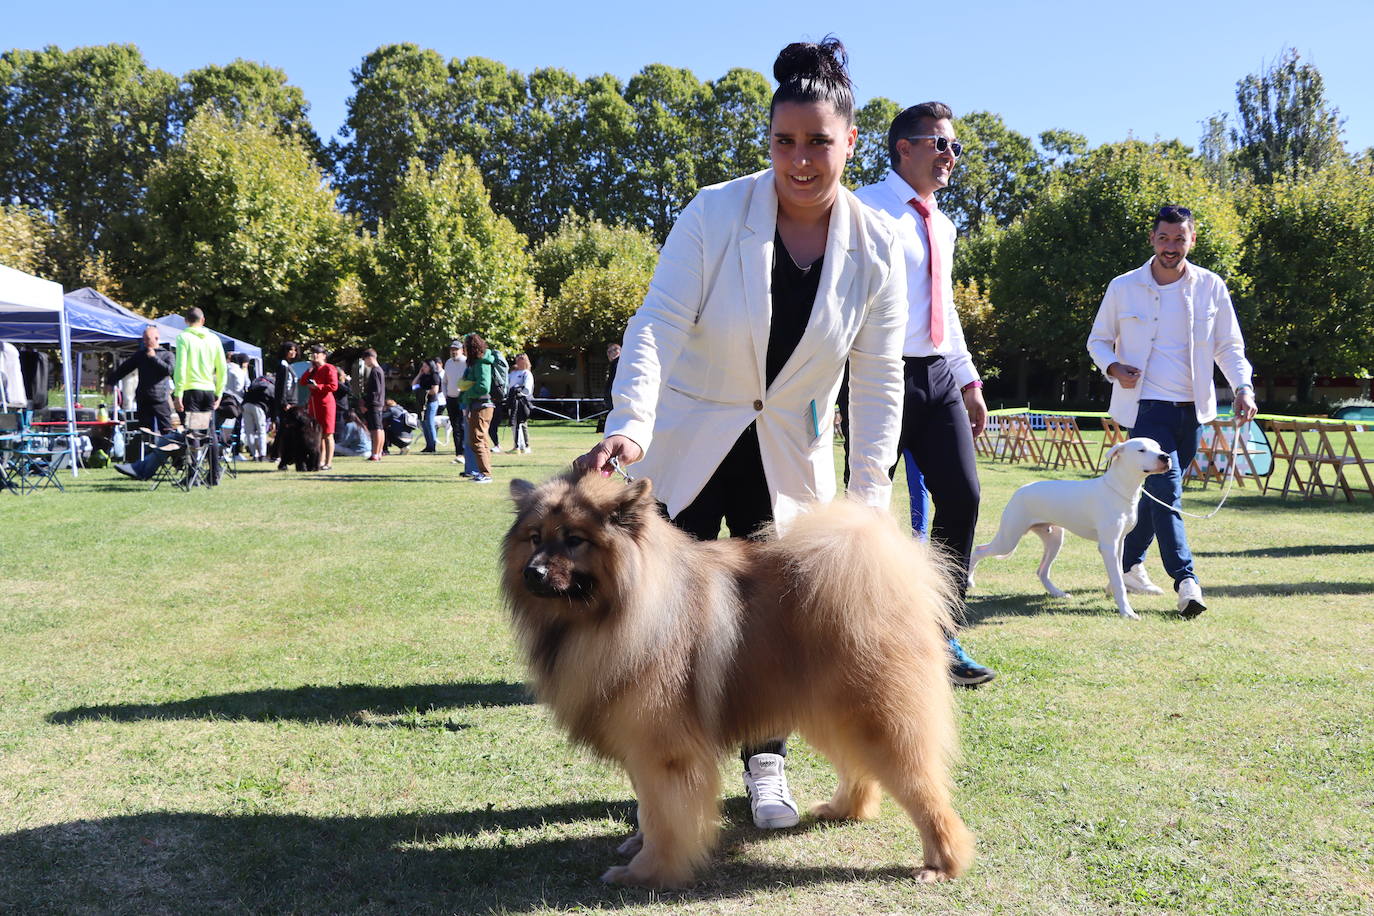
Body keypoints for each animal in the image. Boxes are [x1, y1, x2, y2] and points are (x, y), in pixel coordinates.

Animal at [505, 472, 978, 889]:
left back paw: (942, 864)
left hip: (877, 720)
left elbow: (664, 819)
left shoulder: (663, 751)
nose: (533, 572)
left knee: (924, 792)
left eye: (574, 539)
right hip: (830, 713)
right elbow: (648, 811)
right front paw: (640, 846)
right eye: (535, 537)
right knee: (857, 766)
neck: (619, 610)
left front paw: (647, 872)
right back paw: (845, 808)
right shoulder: (639, 745)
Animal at [967, 439, 1170, 623]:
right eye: (1141, 450)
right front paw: (1127, 611)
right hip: (1009, 538)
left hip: (1054, 539)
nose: (1166, 457)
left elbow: (1118, 573)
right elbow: (1119, 580)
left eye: (1159, 447)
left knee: (1042, 571)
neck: (1119, 489)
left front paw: (1110, 591)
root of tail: (1021, 490)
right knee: (978, 550)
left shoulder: (1119, 542)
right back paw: (968, 580)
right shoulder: (1108, 545)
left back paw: (1058, 593)